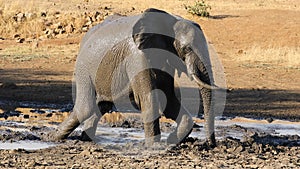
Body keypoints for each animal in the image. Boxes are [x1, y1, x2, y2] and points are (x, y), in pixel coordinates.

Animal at [49, 8, 219, 147]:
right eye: (186, 48)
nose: (210, 144)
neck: (169, 20)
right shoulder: (137, 56)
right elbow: (150, 98)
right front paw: (154, 146)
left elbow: (169, 99)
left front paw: (171, 140)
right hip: (84, 67)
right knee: (86, 107)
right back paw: (54, 137)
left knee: (102, 105)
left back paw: (85, 139)